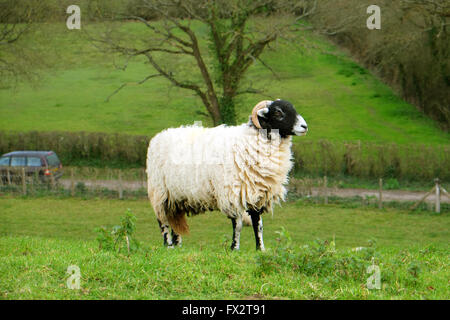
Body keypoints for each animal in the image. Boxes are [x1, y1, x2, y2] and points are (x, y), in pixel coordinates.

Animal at [146, 99, 308, 250]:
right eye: (278, 112)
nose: (304, 127)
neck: (250, 141)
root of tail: (159, 136)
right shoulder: (232, 194)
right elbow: (238, 224)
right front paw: (234, 248)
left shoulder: (257, 194)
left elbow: (258, 224)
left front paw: (261, 249)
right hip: (160, 193)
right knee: (163, 222)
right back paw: (168, 245)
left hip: (176, 197)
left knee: (174, 221)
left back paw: (178, 245)